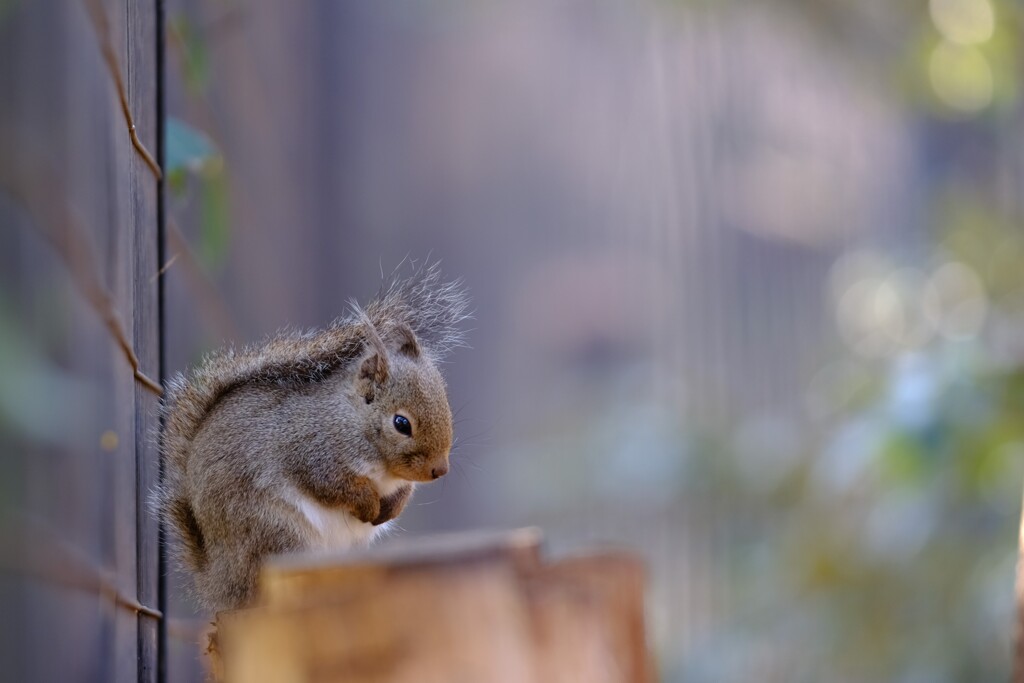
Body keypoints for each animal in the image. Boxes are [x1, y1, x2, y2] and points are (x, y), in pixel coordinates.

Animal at [152, 264, 471, 610]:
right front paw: (369, 505)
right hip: (277, 535)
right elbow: (332, 486)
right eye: (401, 423)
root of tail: (218, 585)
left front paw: (390, 508)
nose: (440, 470)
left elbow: (402, 492)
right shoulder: (311, 451)